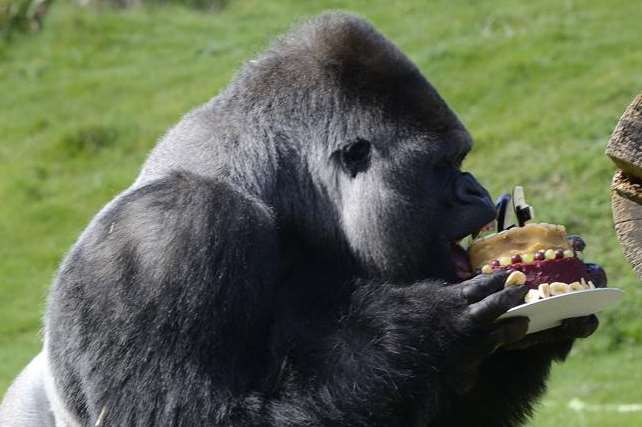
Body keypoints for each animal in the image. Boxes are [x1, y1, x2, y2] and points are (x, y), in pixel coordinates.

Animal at [1, 11, 600, 426]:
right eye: (445, 165)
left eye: (461, 160)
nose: (475, 189)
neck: (274, 190)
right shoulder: (165, 237)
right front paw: (423, 330)